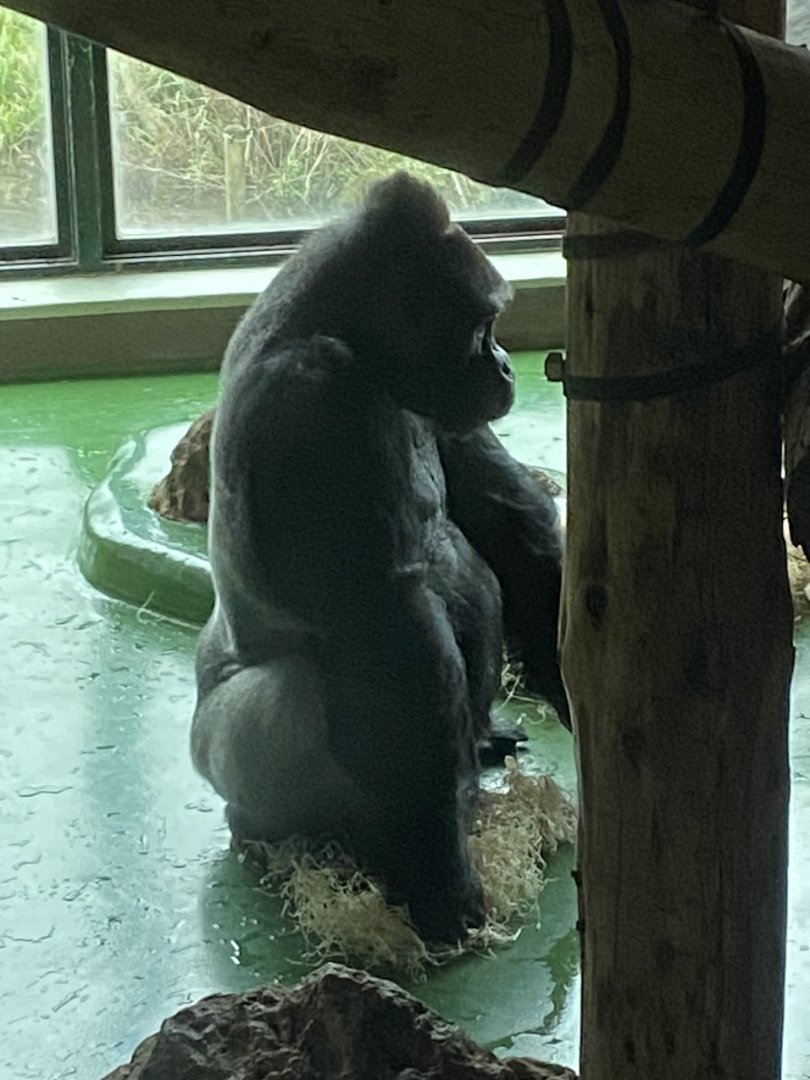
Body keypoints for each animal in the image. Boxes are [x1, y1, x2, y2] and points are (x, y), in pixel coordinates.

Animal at [191, 173, 566, 942]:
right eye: (482, 328)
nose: (506, 366)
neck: (340, 327)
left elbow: (509, 520)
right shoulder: (312, 398)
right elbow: (388, 633)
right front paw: (442, 881)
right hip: (218, 755)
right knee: (296, 694)